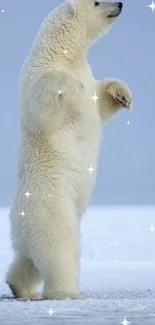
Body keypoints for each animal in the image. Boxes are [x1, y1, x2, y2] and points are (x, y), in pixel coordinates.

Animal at [5, 0, 132, 298]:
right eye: (97, 2)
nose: (120, 3)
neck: (63, 55)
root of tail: (16, 218)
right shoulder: (35, 76)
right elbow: (44, 107)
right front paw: (72, 85)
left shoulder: (87, 71)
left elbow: (100, 100)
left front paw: (123, 94)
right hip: (51, 207)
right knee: (60, 249)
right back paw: (69, 292)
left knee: (28, 259)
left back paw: (21, 287)